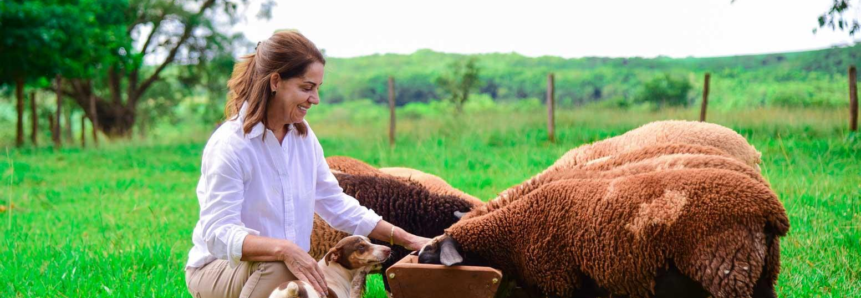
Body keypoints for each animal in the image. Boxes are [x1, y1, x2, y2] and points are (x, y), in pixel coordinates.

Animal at [420, 169, 788, 298]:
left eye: (433, 252)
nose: (417, 256)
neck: (512, 233)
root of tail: (771, 209)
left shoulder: (559, 281)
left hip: (726, 268)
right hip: (761, 273)